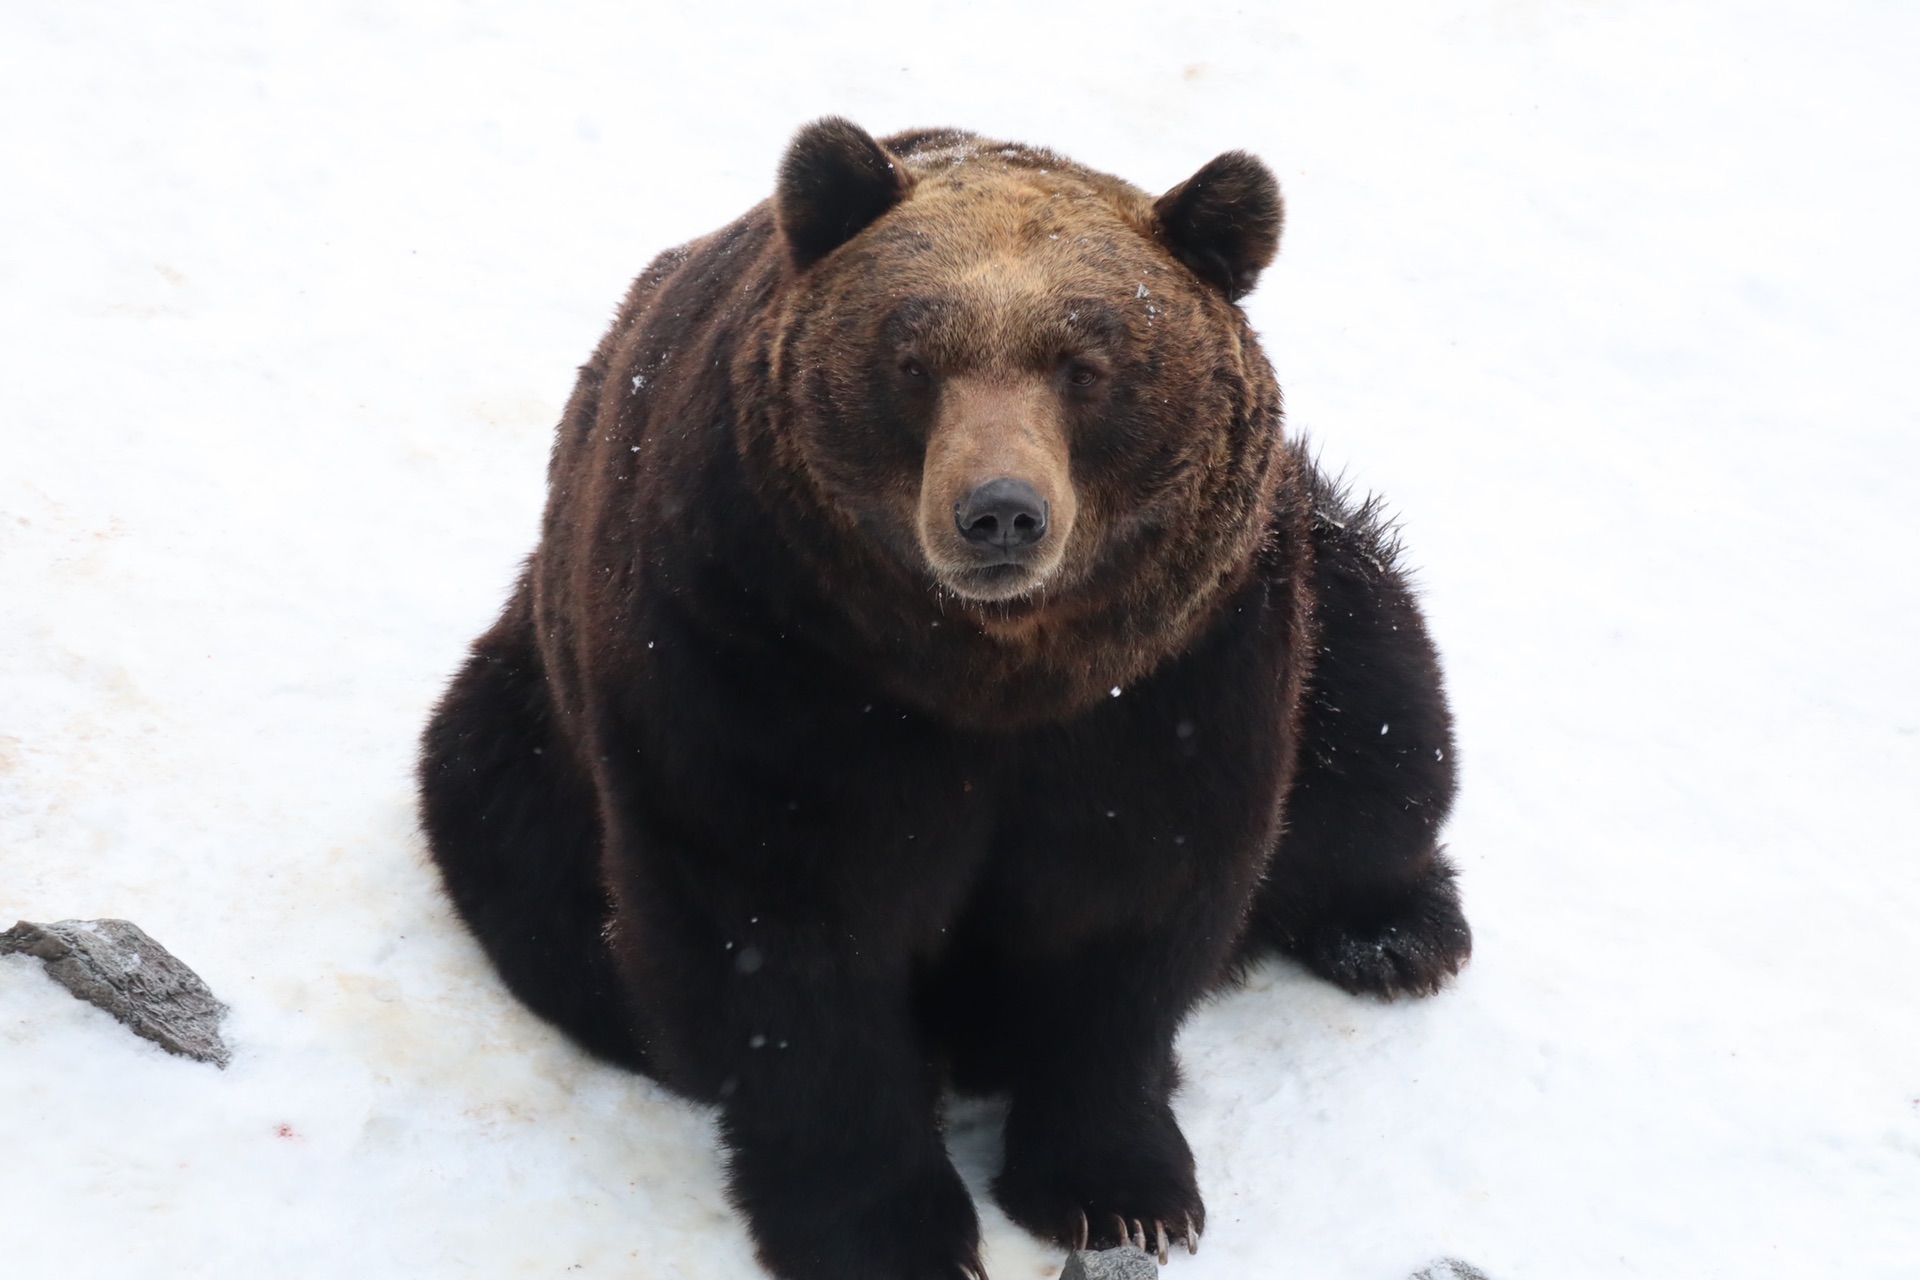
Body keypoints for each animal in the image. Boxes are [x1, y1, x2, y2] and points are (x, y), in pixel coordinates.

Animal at [424, 119, 1466, 1280]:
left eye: (1087, 364)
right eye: (912, 359)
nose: (1000, 512)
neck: (989, 670)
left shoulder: (1174, 679)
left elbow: (1134, 909)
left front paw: (1119, 1190)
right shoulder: (760, 655)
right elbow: (777, 934)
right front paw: (884, 1225)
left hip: (1325, 583)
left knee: (1385, 732)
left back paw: (1396, 932)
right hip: (525, 746)